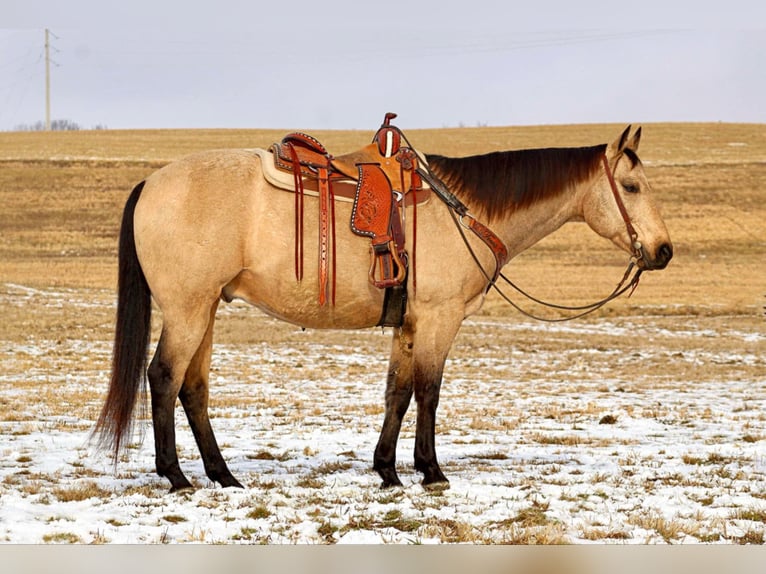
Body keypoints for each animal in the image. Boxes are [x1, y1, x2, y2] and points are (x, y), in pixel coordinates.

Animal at [94, 118, 672, 496]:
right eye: (630, 186)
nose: (663, 251)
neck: (466, 211)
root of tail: (151, 183)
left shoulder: (409, 324)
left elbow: (398, 392)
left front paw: (388, 470)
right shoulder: (440, 318)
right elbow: (429, 392)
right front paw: (431, 471)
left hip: (206, 309)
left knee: (192, 388)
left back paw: (223, 475)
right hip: (188, 310)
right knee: (164, 378)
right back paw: (176, 476)